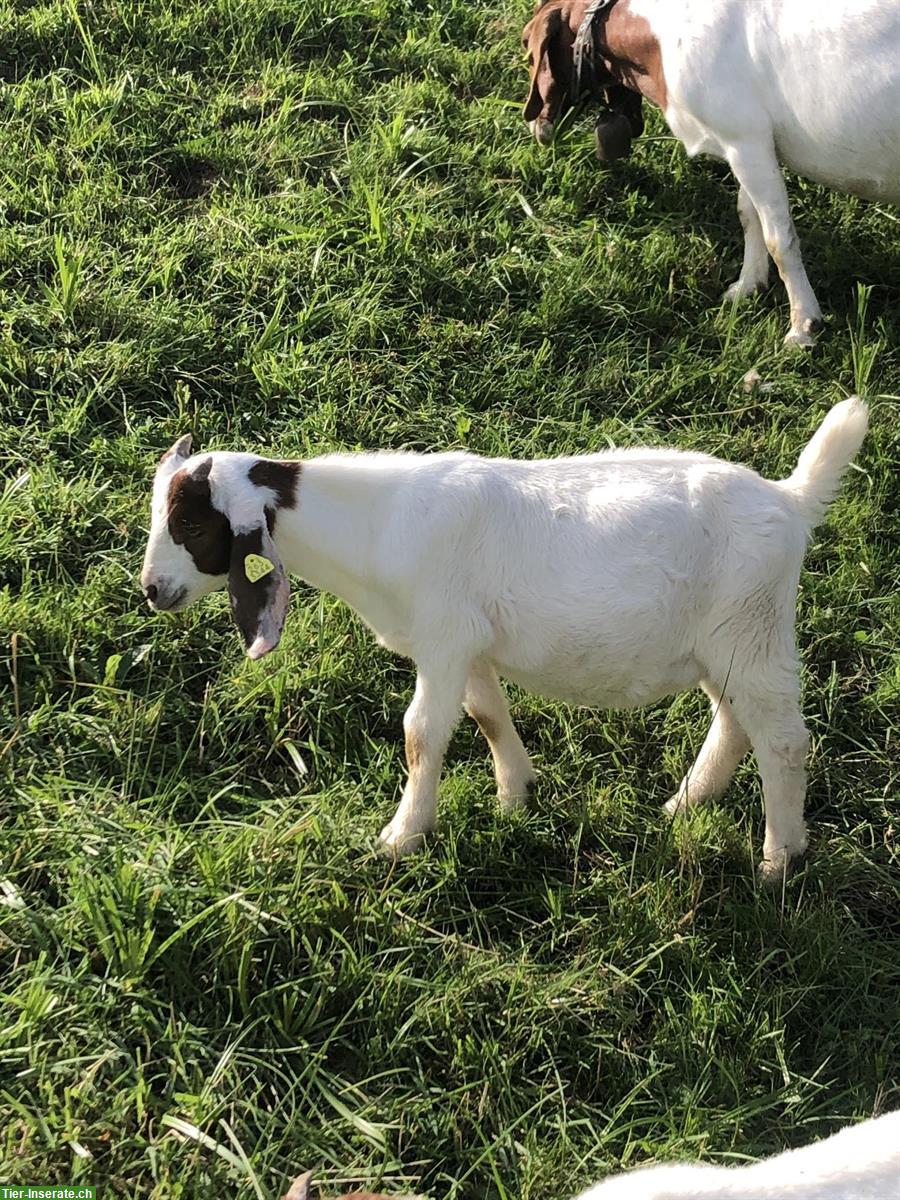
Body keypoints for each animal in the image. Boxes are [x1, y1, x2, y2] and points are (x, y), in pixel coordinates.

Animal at [520, 0, 900, 348]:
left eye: (527, 45)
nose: (535, 124)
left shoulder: (746, 138)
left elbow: (780, 240)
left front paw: (803, 326)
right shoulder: (744, 143)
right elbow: (748, 215)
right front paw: (746, 287)